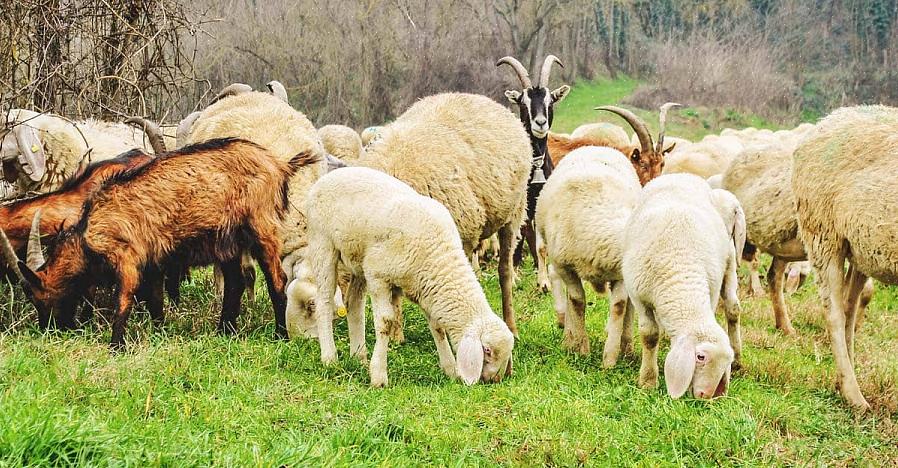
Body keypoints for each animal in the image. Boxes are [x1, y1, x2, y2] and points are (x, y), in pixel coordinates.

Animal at [0, 137, 312, 350]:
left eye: (36, 295)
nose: (49, 330)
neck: (89, 229)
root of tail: (279, 165)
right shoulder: (154, 263)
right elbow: (155, 302)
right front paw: (158, 331)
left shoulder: (128, 258)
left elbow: (123, 301)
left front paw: (116, 346)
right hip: (227, 240)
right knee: (234, 283)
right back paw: (225, 331)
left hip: (261, 228)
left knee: (276, 279)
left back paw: (280, 335)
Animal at [306, 166, 512, 386]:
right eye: (487, 350)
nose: (493, 380)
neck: (438, 256)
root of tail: (330, 175)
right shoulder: (377, 276)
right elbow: (386, 322)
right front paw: (379, 376)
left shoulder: (424, 288)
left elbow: (437, 326)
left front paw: (450, 369)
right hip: (322, 243)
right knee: (324, 301)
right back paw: (330, 358)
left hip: (358, 259)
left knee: (353, 304)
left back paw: (359, 357)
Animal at [536, 148, 640, 364]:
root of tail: (595, 146)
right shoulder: (565, 266)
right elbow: (577, 301)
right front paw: (581, 347)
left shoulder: (620, 273)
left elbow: (619, 305)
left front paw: (610, 358)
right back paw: (567, 334)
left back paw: (627, 346)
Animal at [620, 174, 744, 400]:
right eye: (700, 357)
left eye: (725, 363)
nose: (706, 395)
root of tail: (681, 175)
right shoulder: (639, 295)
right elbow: (649, 335)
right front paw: (648, 381)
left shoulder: (711, 292)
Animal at [792, 105, 896, 410]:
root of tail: (826, 121)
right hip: (823, 235)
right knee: (835, 314)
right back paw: (854, 395)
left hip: (861, 249)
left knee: (850, 308)